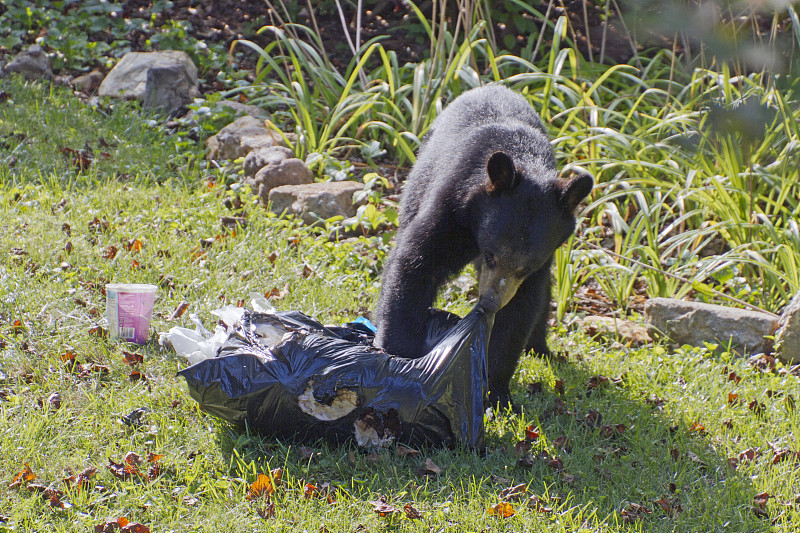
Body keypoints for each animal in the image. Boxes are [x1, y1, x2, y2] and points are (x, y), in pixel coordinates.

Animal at [372, 84, 592, 408]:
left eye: (525, 267)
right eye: (491, 255)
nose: (489, 303)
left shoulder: (542, 261)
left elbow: (521, 309)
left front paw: (497, 391)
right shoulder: (452, 206)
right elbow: (416, 262)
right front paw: (399, 357)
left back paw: (541, 348)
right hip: (418, 180)